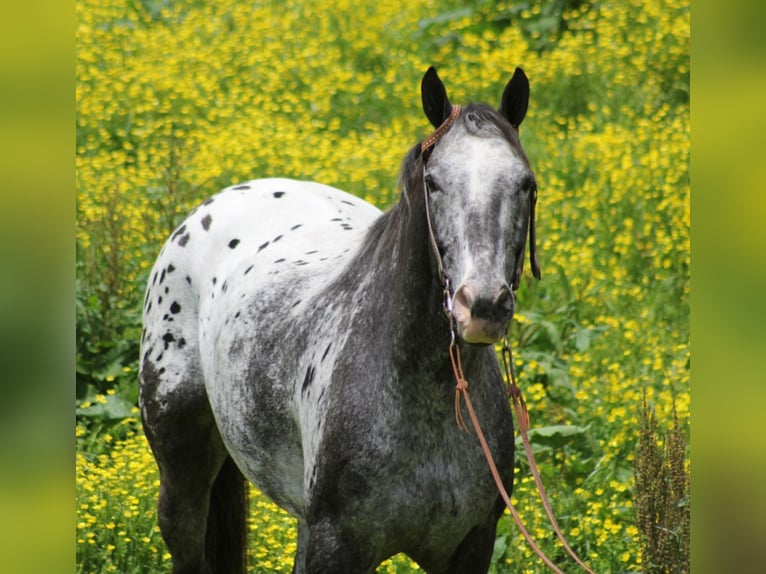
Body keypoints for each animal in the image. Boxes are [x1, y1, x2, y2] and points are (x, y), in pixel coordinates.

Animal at [141, 66, 544, 574]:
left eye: (526, 183)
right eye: (433, 183)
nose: (483, 306)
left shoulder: (471, 544)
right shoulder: (335, 546)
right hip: (182, 466)